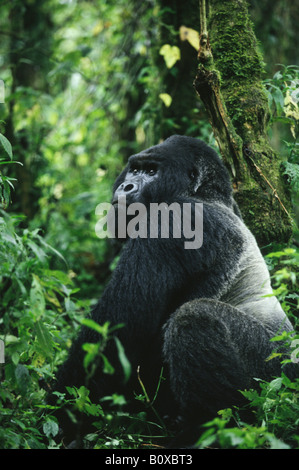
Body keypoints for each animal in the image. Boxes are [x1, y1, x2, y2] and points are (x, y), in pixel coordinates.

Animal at [52, 135, 296, 444]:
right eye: (134, 169)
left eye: (151, 171)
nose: (125, 187)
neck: (206, 195)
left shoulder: (172, 219)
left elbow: (119, 331)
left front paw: (62, 415)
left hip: (275, 379)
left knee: (194, 317)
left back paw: (209, 432)